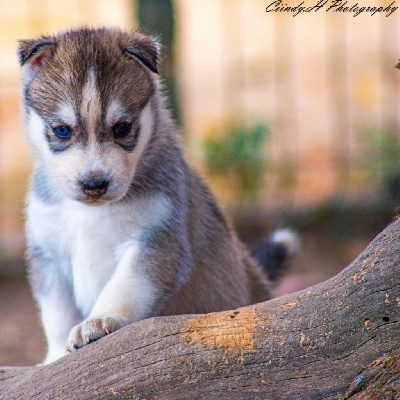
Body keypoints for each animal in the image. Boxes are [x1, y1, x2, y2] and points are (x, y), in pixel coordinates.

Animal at [18, 28, 298, 364]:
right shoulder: (47, 253)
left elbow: (123, 287)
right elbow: (56, 314)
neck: (90, 212)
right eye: (61, 130)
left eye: (122, 128)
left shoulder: (157, 240)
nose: (94, 184)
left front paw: (99, 320)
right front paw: (56, 356)